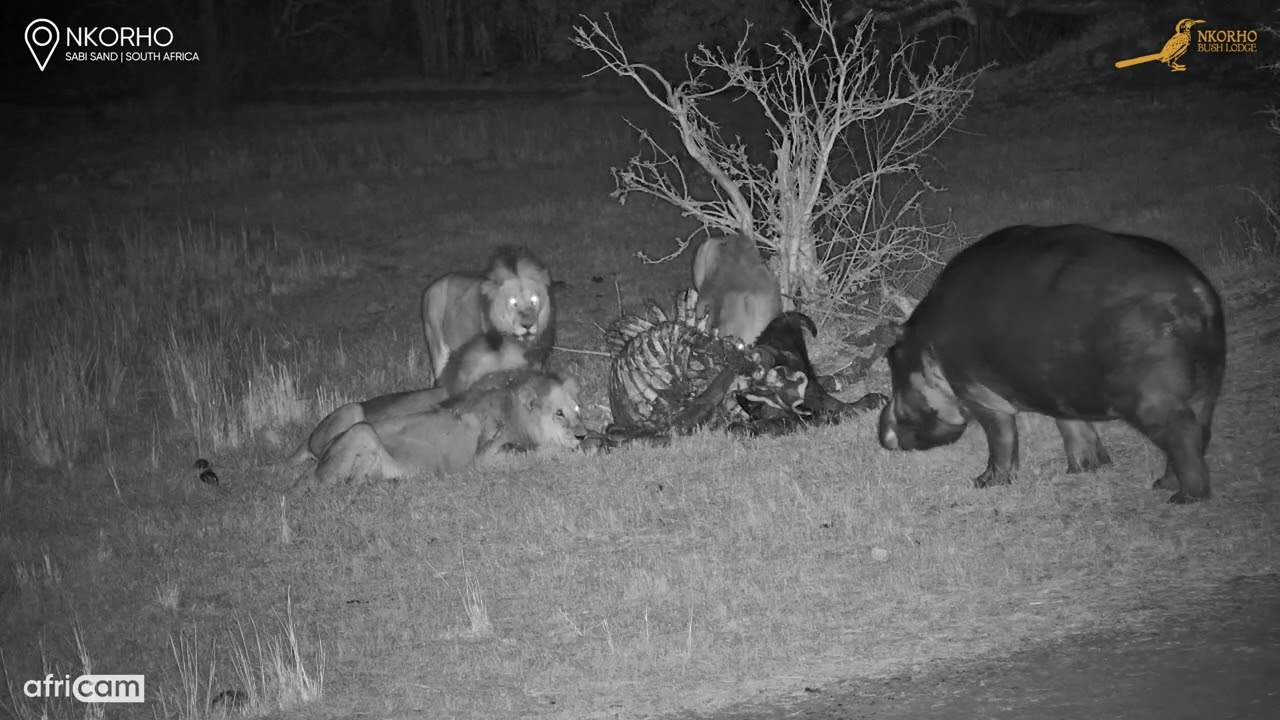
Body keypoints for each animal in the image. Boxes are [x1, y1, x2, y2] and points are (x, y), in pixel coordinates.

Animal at [293, 369, 586, 488]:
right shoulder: (483, 459)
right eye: (558, 413)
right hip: (360, 426)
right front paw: (567, 450)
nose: (582, 434)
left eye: (577, 409)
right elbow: (533, 453)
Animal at [877, 224, 1226, 503]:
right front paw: (1083, 468)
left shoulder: (979, 396)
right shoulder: (1057, 392)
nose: (882, 435)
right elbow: (1073, 429)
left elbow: (1000, 441)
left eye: (889, 357)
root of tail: (1195, 291)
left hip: (1154, 403)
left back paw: (1184, 497)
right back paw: (1163, 484)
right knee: (1199, 434)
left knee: (1184, 438)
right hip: (1204, 393)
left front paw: (983, 483)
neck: (926, 350)